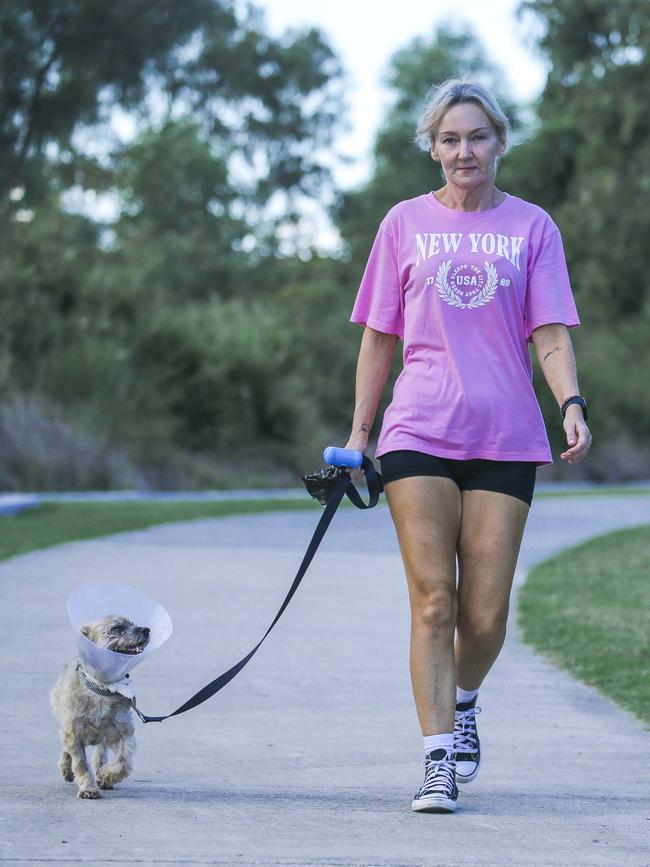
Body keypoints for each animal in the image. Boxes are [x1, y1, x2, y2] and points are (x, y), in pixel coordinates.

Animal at [50, 616, 149, 800]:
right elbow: (81, 764)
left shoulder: (123, 733)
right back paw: (66, 768)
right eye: (116, 628)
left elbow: (123, 761)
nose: (146, 629)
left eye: (132, 623)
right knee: (66, 750)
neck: (103, 689)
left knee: (100, 755)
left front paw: (106, 775)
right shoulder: (74, 735)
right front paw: (89, 788)